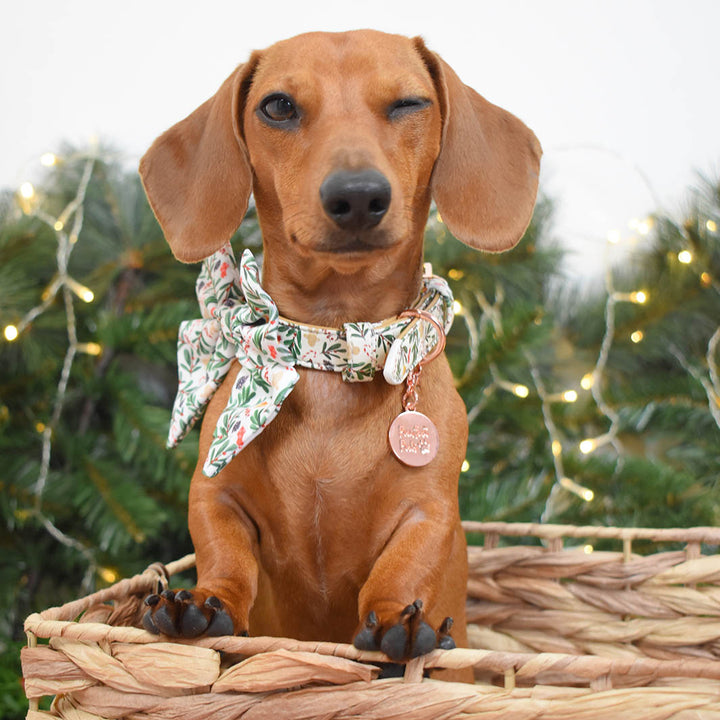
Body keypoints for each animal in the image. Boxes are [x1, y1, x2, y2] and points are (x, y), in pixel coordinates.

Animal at [139, 28, 540, 676]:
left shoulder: (429, 510)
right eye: (278, 106)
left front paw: (399, 622)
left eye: (409, 103)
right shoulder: (214, 492)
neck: (332, 344)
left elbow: (402, 568)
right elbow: (224, 554)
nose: (357, 197)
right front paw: (202, 601)